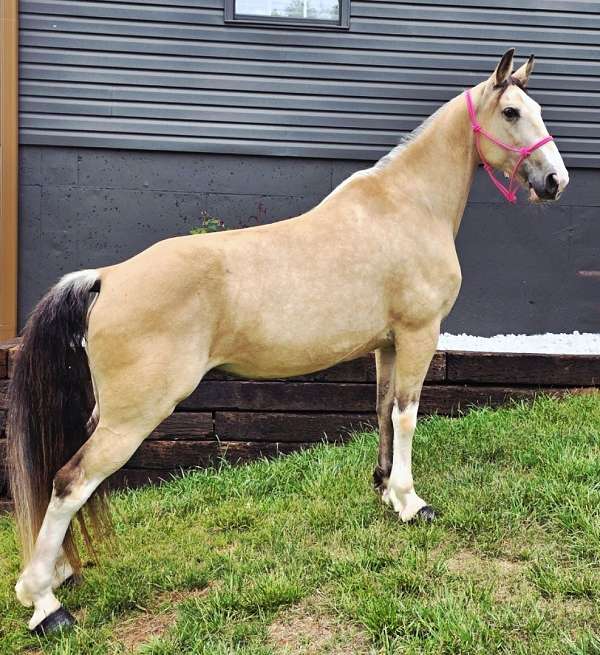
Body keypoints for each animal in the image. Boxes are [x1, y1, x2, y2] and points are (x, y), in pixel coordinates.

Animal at [8, 48, 569, 634]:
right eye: (511, 112)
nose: (556, 180)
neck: (407, 206)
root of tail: (107, 277)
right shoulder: (419, 334)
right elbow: (408, 415)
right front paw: (411, 502)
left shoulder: (387, 344)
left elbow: (382, 410)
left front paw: (384, 489)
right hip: (129, 421)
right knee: (70, 482)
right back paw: (46, 603)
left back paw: (57, 575)